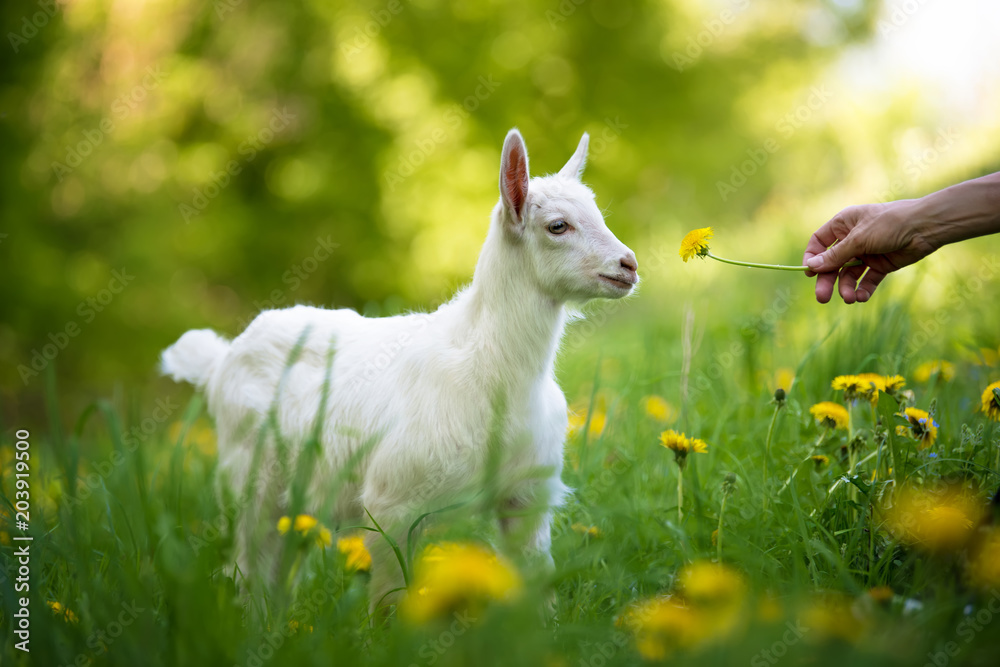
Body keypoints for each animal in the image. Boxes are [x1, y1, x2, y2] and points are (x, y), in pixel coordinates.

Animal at [160, 128, 639, 610]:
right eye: (557, 225)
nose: (629, 265)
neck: (488, 368)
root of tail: (220, 359)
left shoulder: (526, 495)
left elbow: (536, 584)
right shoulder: (393, 505)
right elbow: (391, 601)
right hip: (249, 480)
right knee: (247, 569)